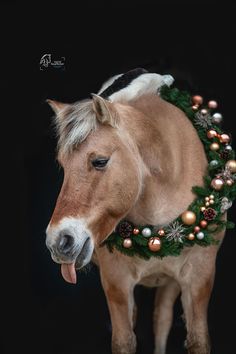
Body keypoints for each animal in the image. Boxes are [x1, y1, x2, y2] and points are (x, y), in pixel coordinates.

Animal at [45, 72, 225, 354]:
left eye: (99, 161)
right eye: (63, 166)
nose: (58, 242)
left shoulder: (200, 277)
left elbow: (197, 339)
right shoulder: (116, 282)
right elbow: (124, 340)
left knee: (161, 319)